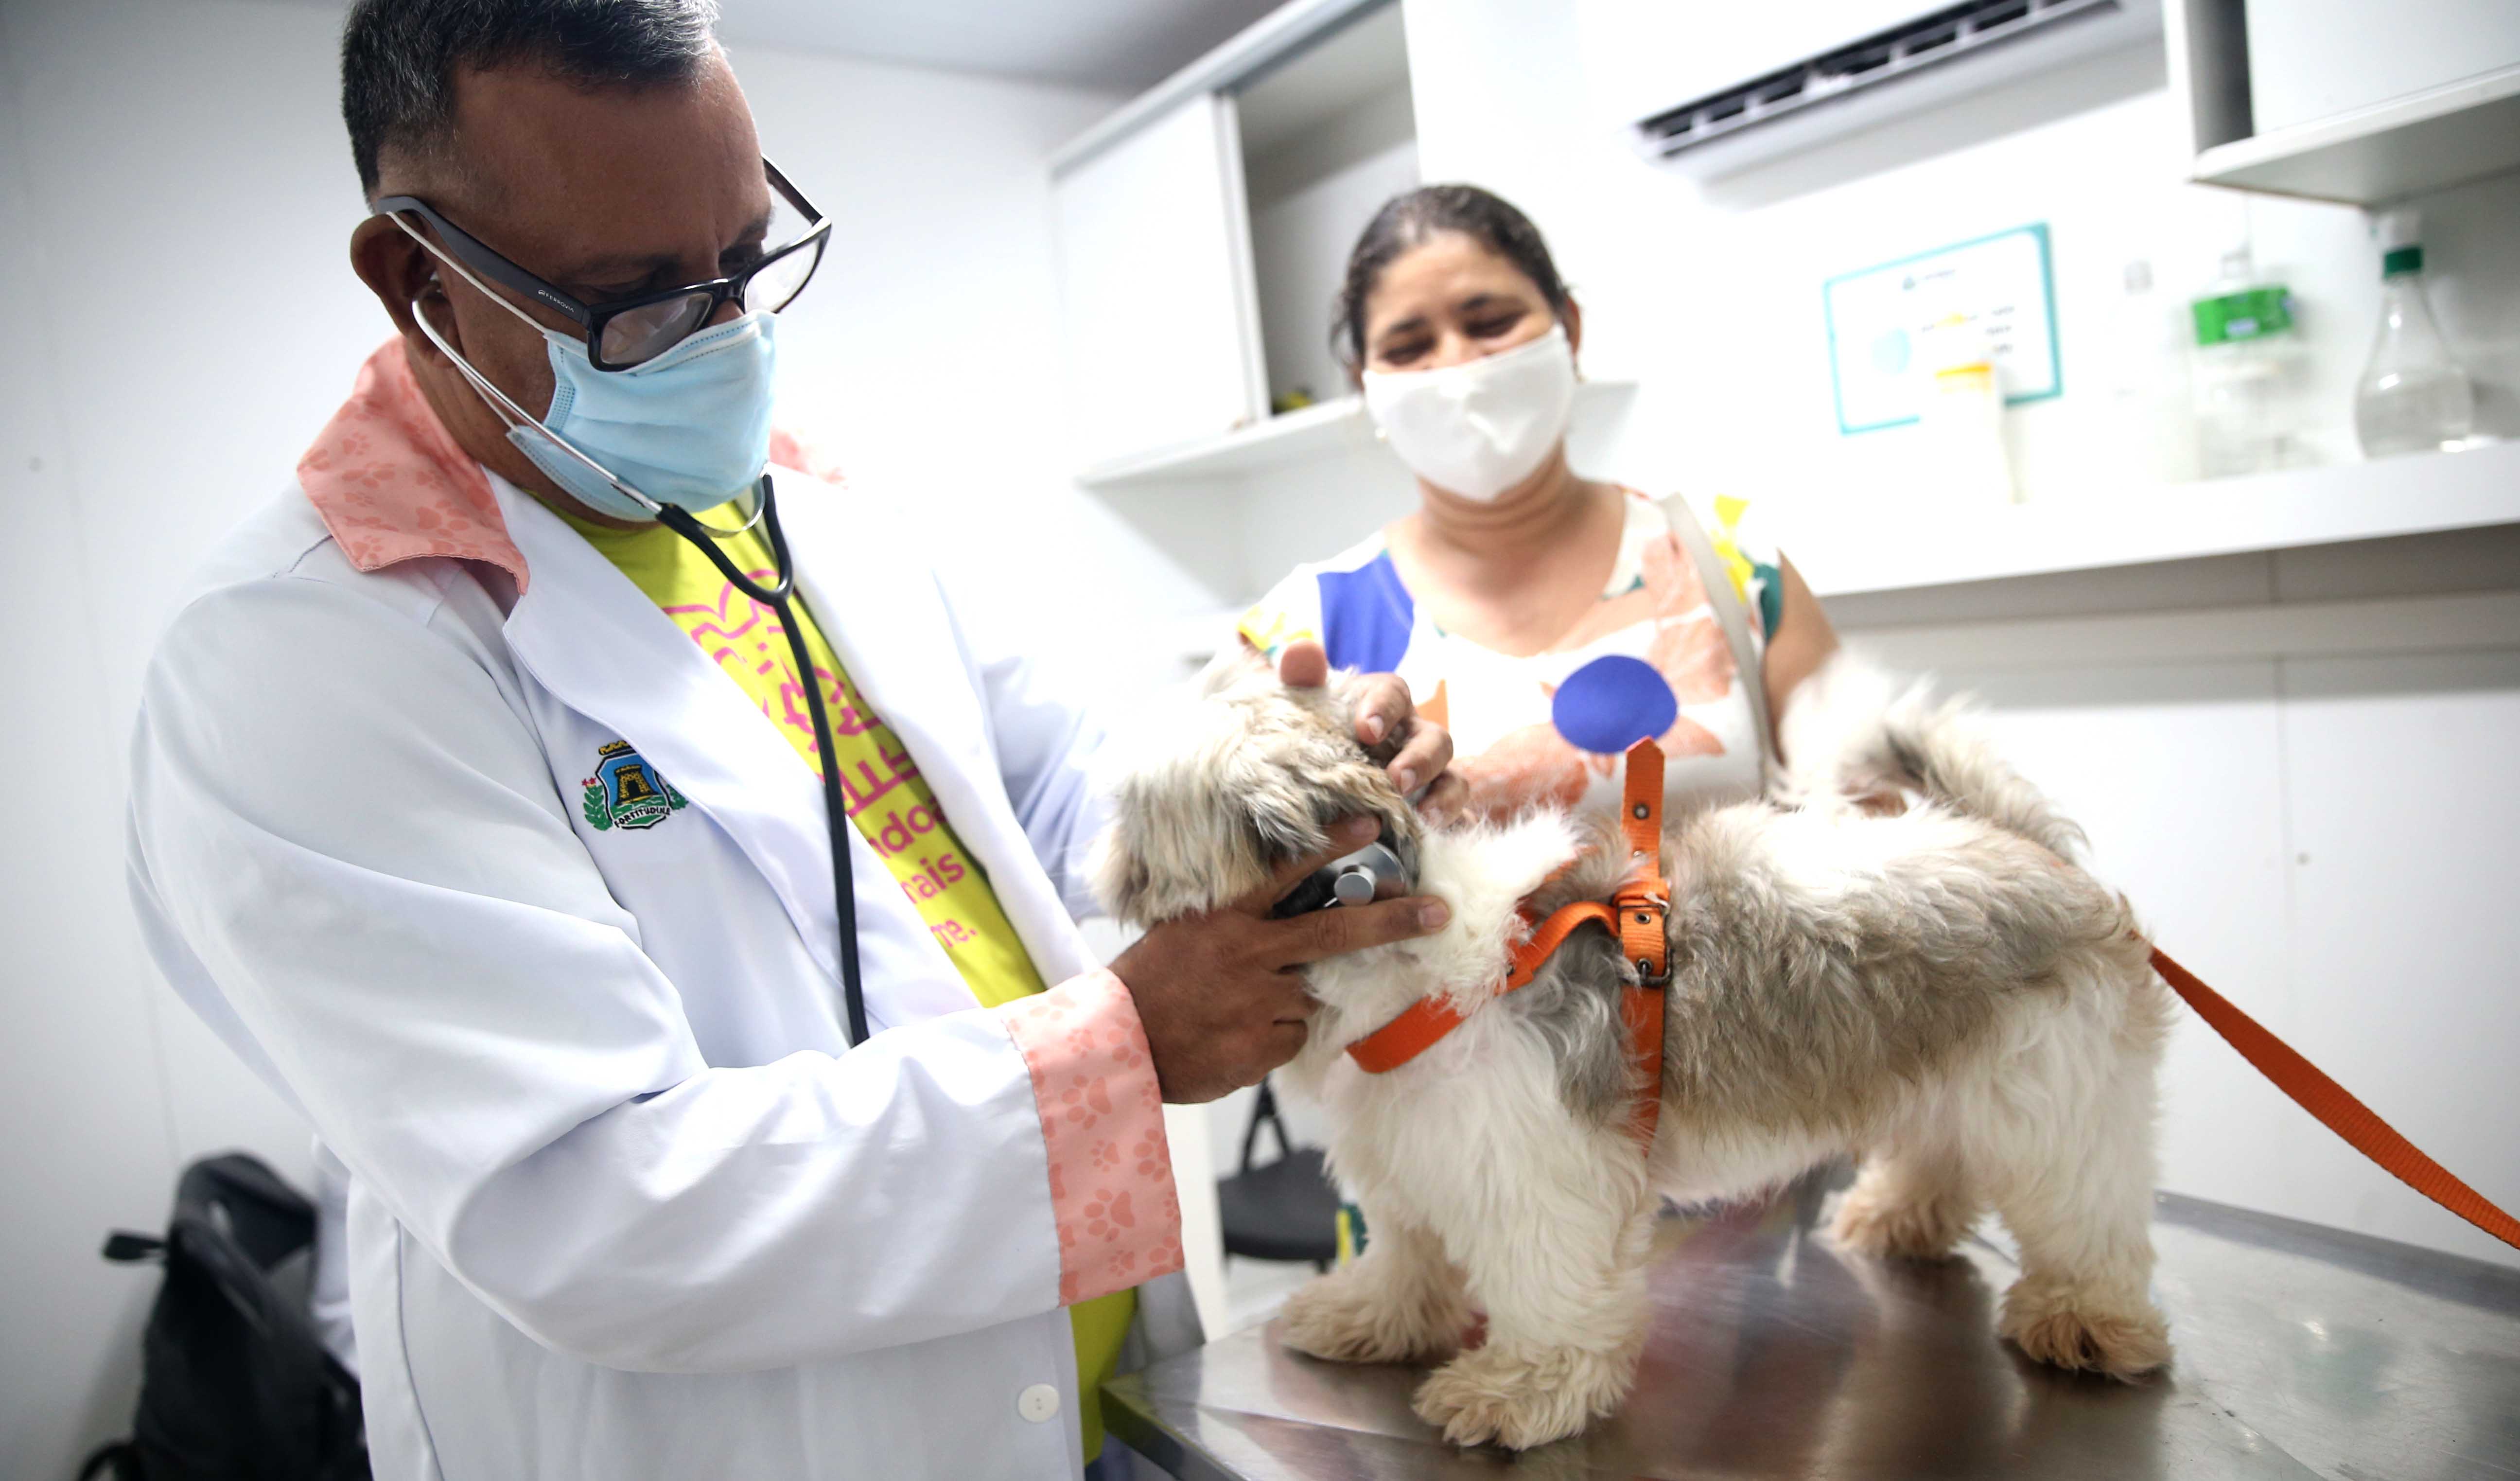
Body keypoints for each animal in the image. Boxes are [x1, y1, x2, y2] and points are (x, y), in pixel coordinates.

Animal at [1093, 654, 2177, 1450]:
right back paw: (1901, 1213)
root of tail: (2027, 846)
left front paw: (1519, 1389)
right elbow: (1408, 1256)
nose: (1092, 855)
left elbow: (1544, 1287)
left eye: (1131, 813)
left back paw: (2085, 1317)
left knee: (2084, 1209)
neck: (1403, 949)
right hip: (1943, 1064)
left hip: (2051, 1090)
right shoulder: (1416, 1156)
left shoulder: (1531, 1170)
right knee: (1940, 1150)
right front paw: (1373, 1316)